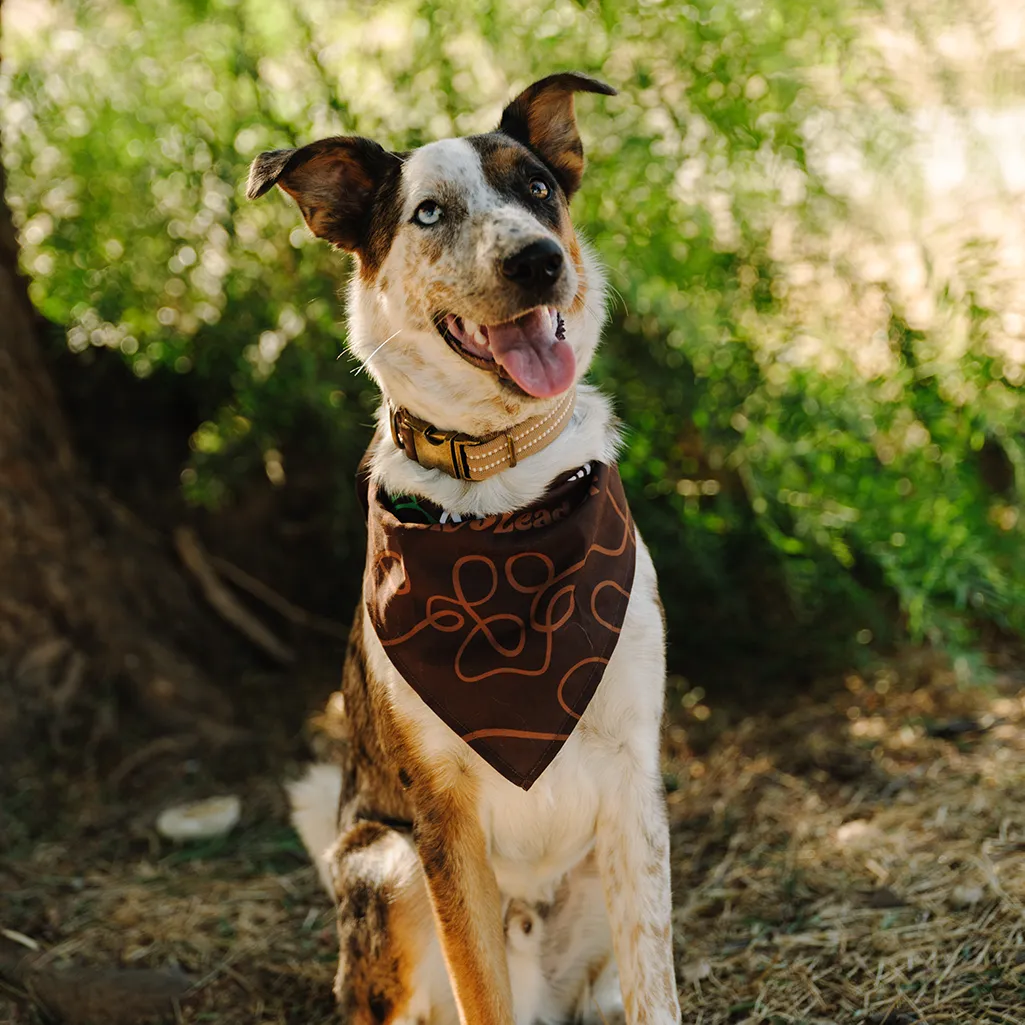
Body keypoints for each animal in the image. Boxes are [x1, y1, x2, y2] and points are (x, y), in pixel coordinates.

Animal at [248, 72, 680, 1025]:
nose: (537, 261)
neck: (502, 485)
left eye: (539, 189)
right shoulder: (440, 820)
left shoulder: (634, 787)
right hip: (386, 861)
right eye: (430, 213)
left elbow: (656, 982)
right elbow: (481, 988)